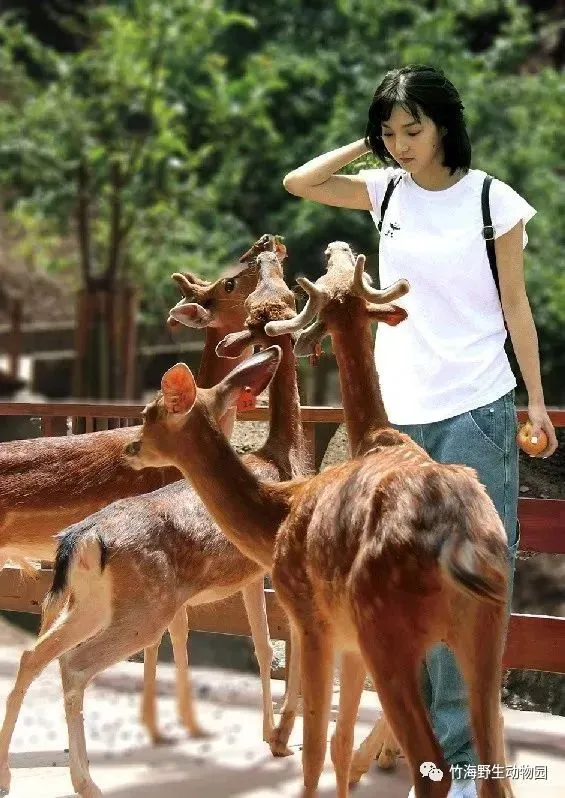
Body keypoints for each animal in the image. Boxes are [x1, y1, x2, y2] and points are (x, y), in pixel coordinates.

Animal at [0, 243, 310, 798]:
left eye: (283, 291)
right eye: (236, 285)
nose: (271, 248)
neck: (282, 457)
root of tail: (82, 537)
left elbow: (244, 641)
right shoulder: (261, 572)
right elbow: (264, 641)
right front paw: (273, 737)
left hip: (92, 602)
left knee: (35, 655)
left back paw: (12, 773)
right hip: (138, 606)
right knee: (73, 664)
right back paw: (86, 781)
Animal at [120, 260, 515, 797]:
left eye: (150, 413)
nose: (128, 447)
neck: (279, 514)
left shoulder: (310, 618)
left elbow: (313, 748)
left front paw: (284, 744)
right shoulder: (346, 639)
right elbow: (337, 742)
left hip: (385, 627)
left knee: (434, 766)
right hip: (484, 628)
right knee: (493, 760)